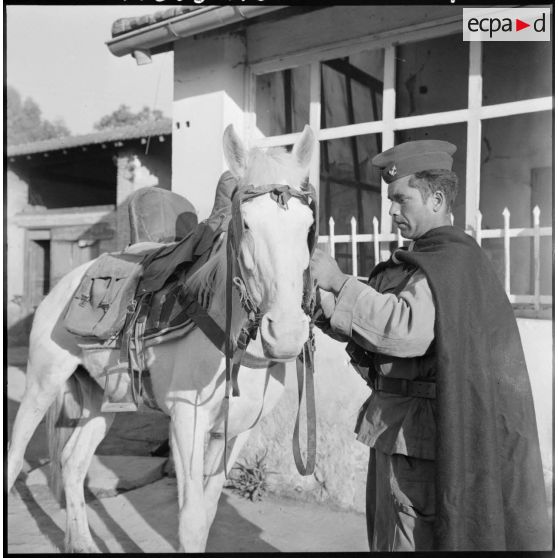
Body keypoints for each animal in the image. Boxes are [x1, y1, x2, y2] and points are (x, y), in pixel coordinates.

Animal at [7, 124, 320, 552]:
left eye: (307, 228)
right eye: (247, 225)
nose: (286, 333)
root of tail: (66, 284)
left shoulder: (238, 430)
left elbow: (207, 513)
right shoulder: (187, 422)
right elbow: (190, 522)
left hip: (103, 398)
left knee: (72, 463)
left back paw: (83, 542)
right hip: (42, 383)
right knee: (15, 458)